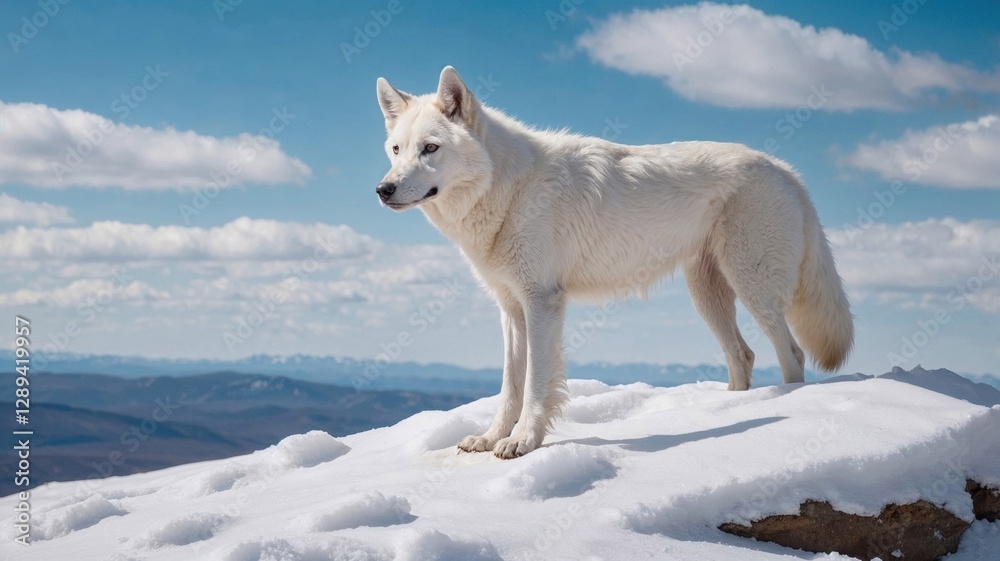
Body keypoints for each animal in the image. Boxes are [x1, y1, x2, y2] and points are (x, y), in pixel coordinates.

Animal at [375, 67, 853, 459]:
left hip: (753, 288)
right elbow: (510, 385)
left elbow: (534, 384)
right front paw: (492, 438)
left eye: (430, 148)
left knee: (791, 353)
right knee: (744, 355)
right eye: (396, 150)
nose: (383, 189)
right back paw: (728, 409)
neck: (509, 187)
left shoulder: (541, 302)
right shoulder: (511, 309)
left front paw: (524, 442)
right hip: (707, 296)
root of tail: (786, 169)